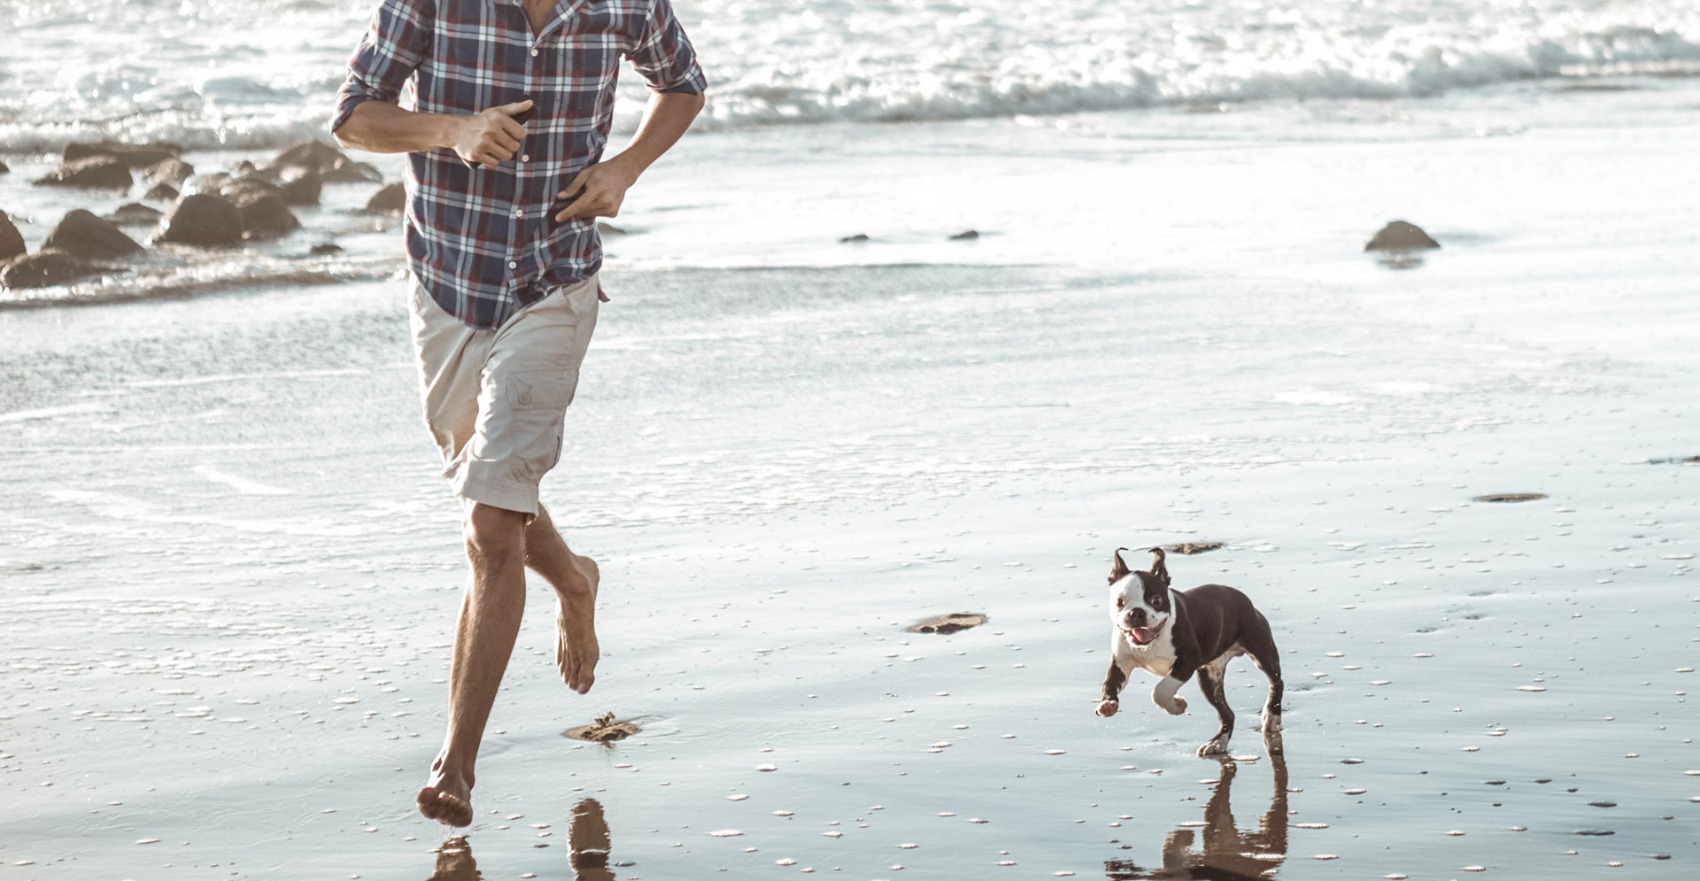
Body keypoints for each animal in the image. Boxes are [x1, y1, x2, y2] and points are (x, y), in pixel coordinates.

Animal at [1094, 547, 1278, 755]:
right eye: (1119, 602)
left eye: (1156, 600)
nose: (1136, 612)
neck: (1152, 641)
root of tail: (1244, 599)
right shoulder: (1121, 665)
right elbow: (1109, 683)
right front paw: (1107, 704)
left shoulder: (1187, 662)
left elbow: (1160, 691)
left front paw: (1176, 705)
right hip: (1209, 677)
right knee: (1227, 712)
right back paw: (1217, 743)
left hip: (1261, 651)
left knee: (1276, 681)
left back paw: (1271, 716)